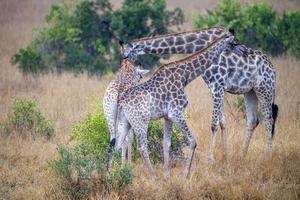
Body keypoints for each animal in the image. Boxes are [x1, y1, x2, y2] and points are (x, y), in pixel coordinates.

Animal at [113, 33, 233, 179]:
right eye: (232, 43)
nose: (238, 51)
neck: (185, 76)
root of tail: (121, 102)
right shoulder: (176, 112)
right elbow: (192, 141)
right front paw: (185, 174)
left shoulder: (167, 116)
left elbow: (166, 143)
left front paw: (167, 175)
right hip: (140, 121)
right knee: (142, 147)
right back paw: (154, 177)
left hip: (125, 121)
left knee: (116, 145)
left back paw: (111, 174)